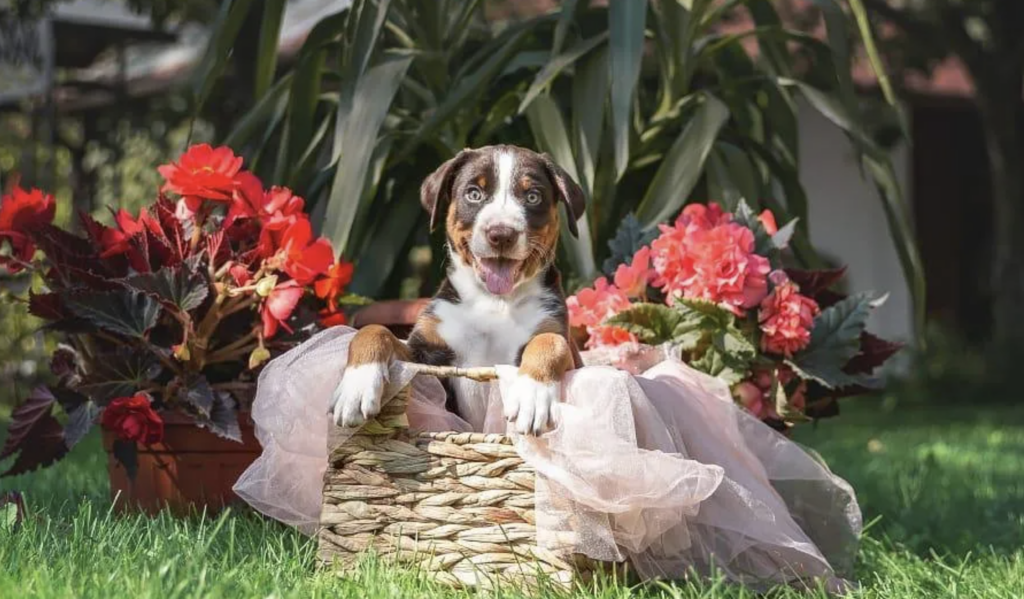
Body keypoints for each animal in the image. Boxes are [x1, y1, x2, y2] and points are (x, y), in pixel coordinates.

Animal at [329, 144, 585, 434]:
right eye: (474, 194)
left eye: (532, 197)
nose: (501, 234)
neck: (494, 302)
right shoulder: (426, 358)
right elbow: (373, 331)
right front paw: (356, 385)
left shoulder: (561, 341)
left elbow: (550, 342)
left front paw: (532, 394)